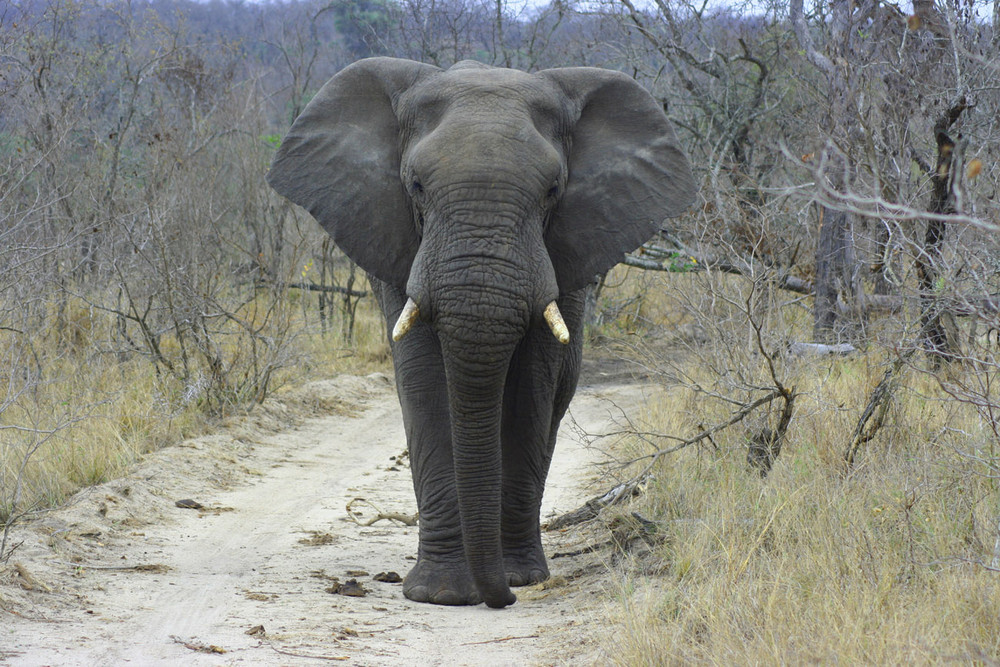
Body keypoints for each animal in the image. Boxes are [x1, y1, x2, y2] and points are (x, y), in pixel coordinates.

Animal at [266, 58, 696, 612]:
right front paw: (443, 595)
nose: (504, 599)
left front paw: (514, 580)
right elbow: (424, 382)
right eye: (416, 186)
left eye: (553, 190)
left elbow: (529, 390)